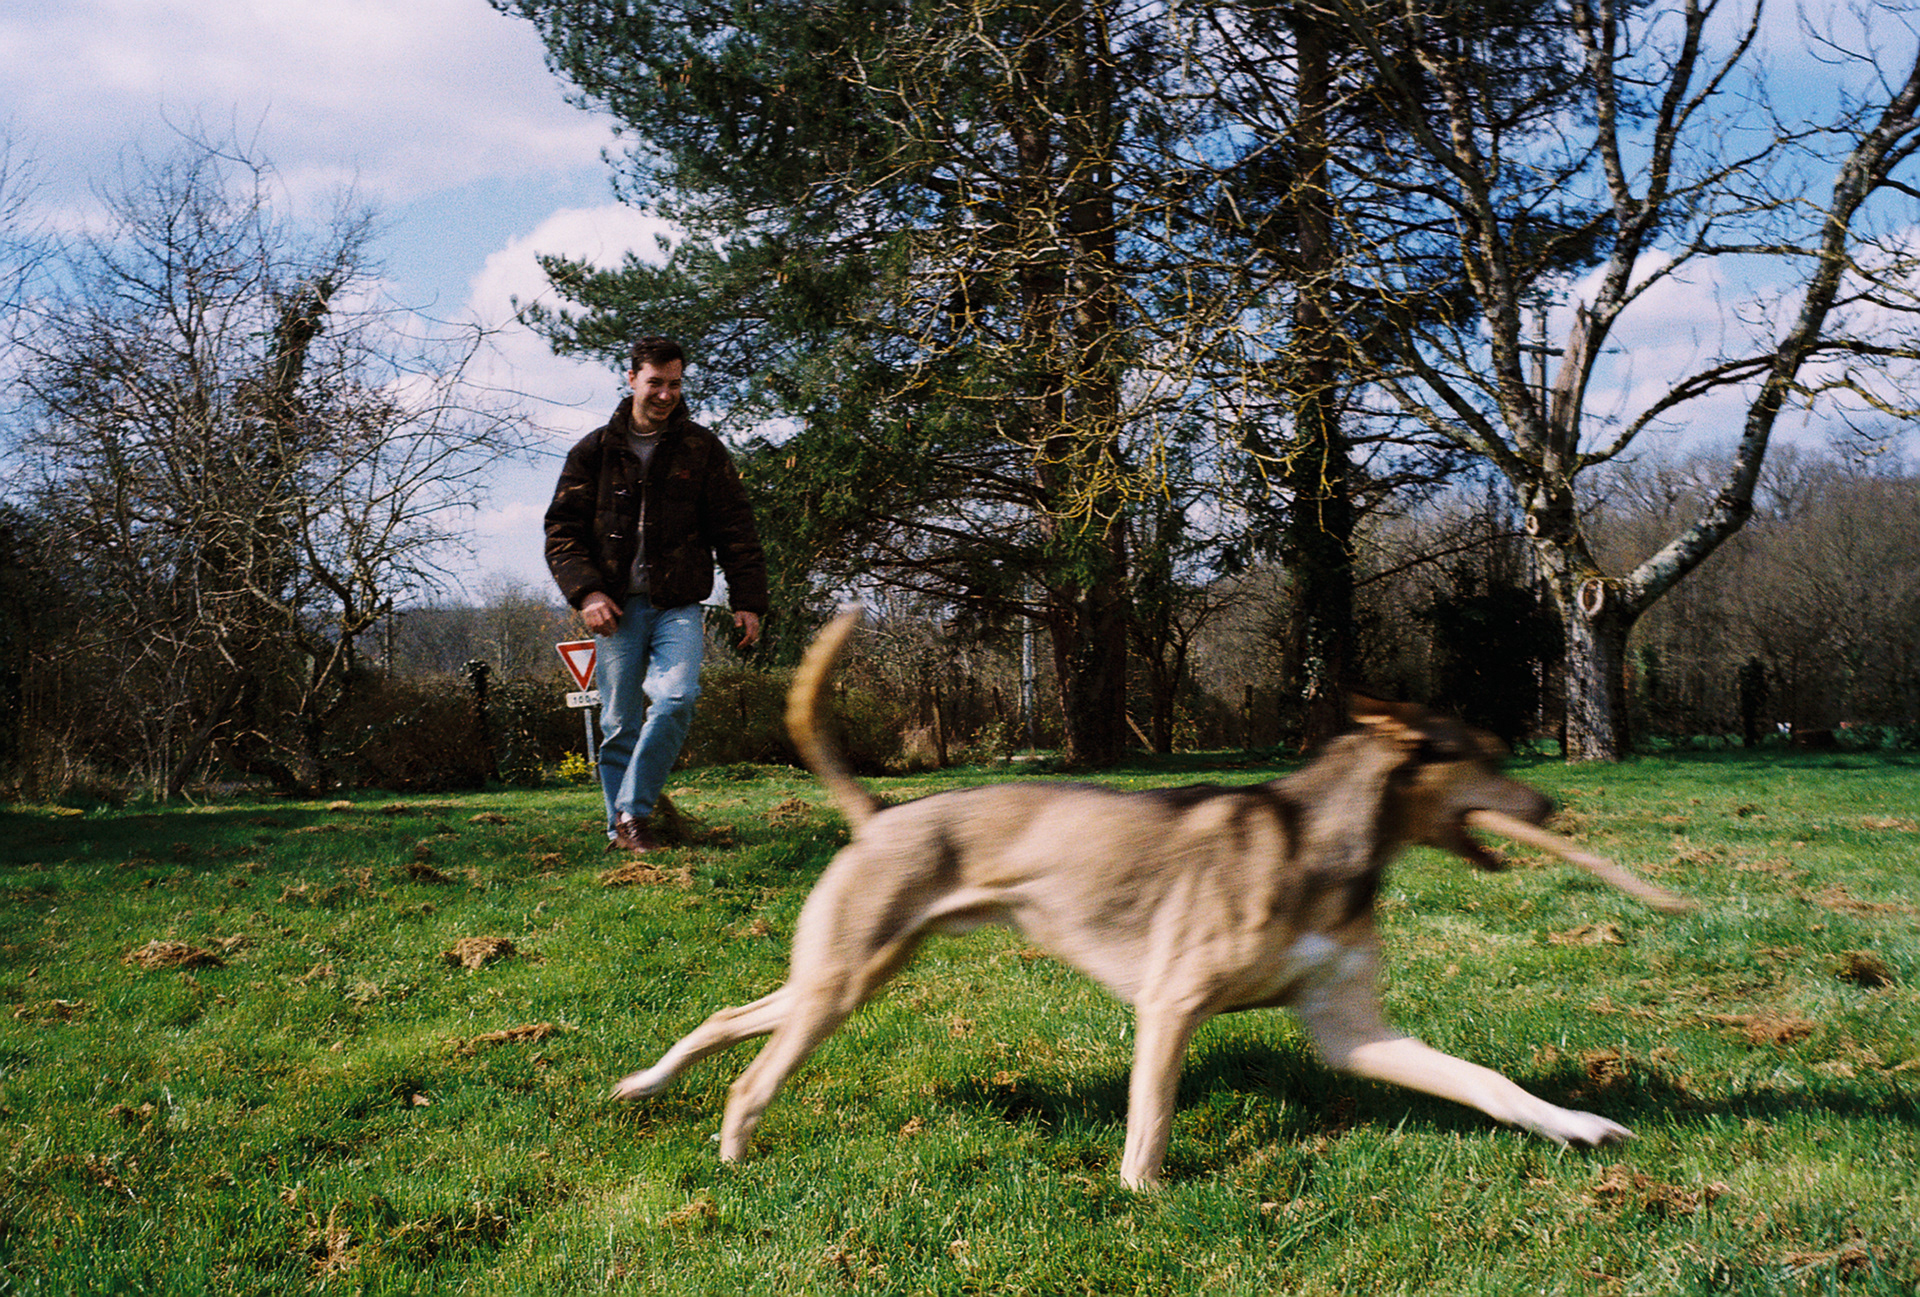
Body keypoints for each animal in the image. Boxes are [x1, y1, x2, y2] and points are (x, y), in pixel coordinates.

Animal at [611, 608, 1634, 1188]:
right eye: (1481, 753)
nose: (1553, 807)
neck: (1327, 848)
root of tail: (880, 814)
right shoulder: (1171, 1004)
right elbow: (1151, 1121)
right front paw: (1140, 1199)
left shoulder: (1353, 1031)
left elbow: (1490, 1083)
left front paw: (1576, 1124)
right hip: (840, 984)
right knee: (751, 1075)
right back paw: (733, 1156)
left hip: (845, 975)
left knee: (726, 1017)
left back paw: (646, 1085)